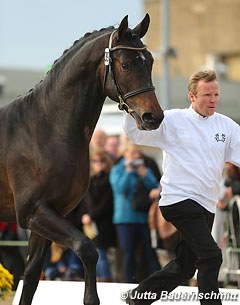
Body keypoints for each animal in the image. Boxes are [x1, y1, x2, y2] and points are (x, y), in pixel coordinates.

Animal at [0, 13, 163, 302]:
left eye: (150, 61)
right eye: (125, 64)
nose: (152, 117)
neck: (45, 128)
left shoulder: (47, 215)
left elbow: (30, 278)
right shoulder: (34, 212)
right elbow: (87, 249)